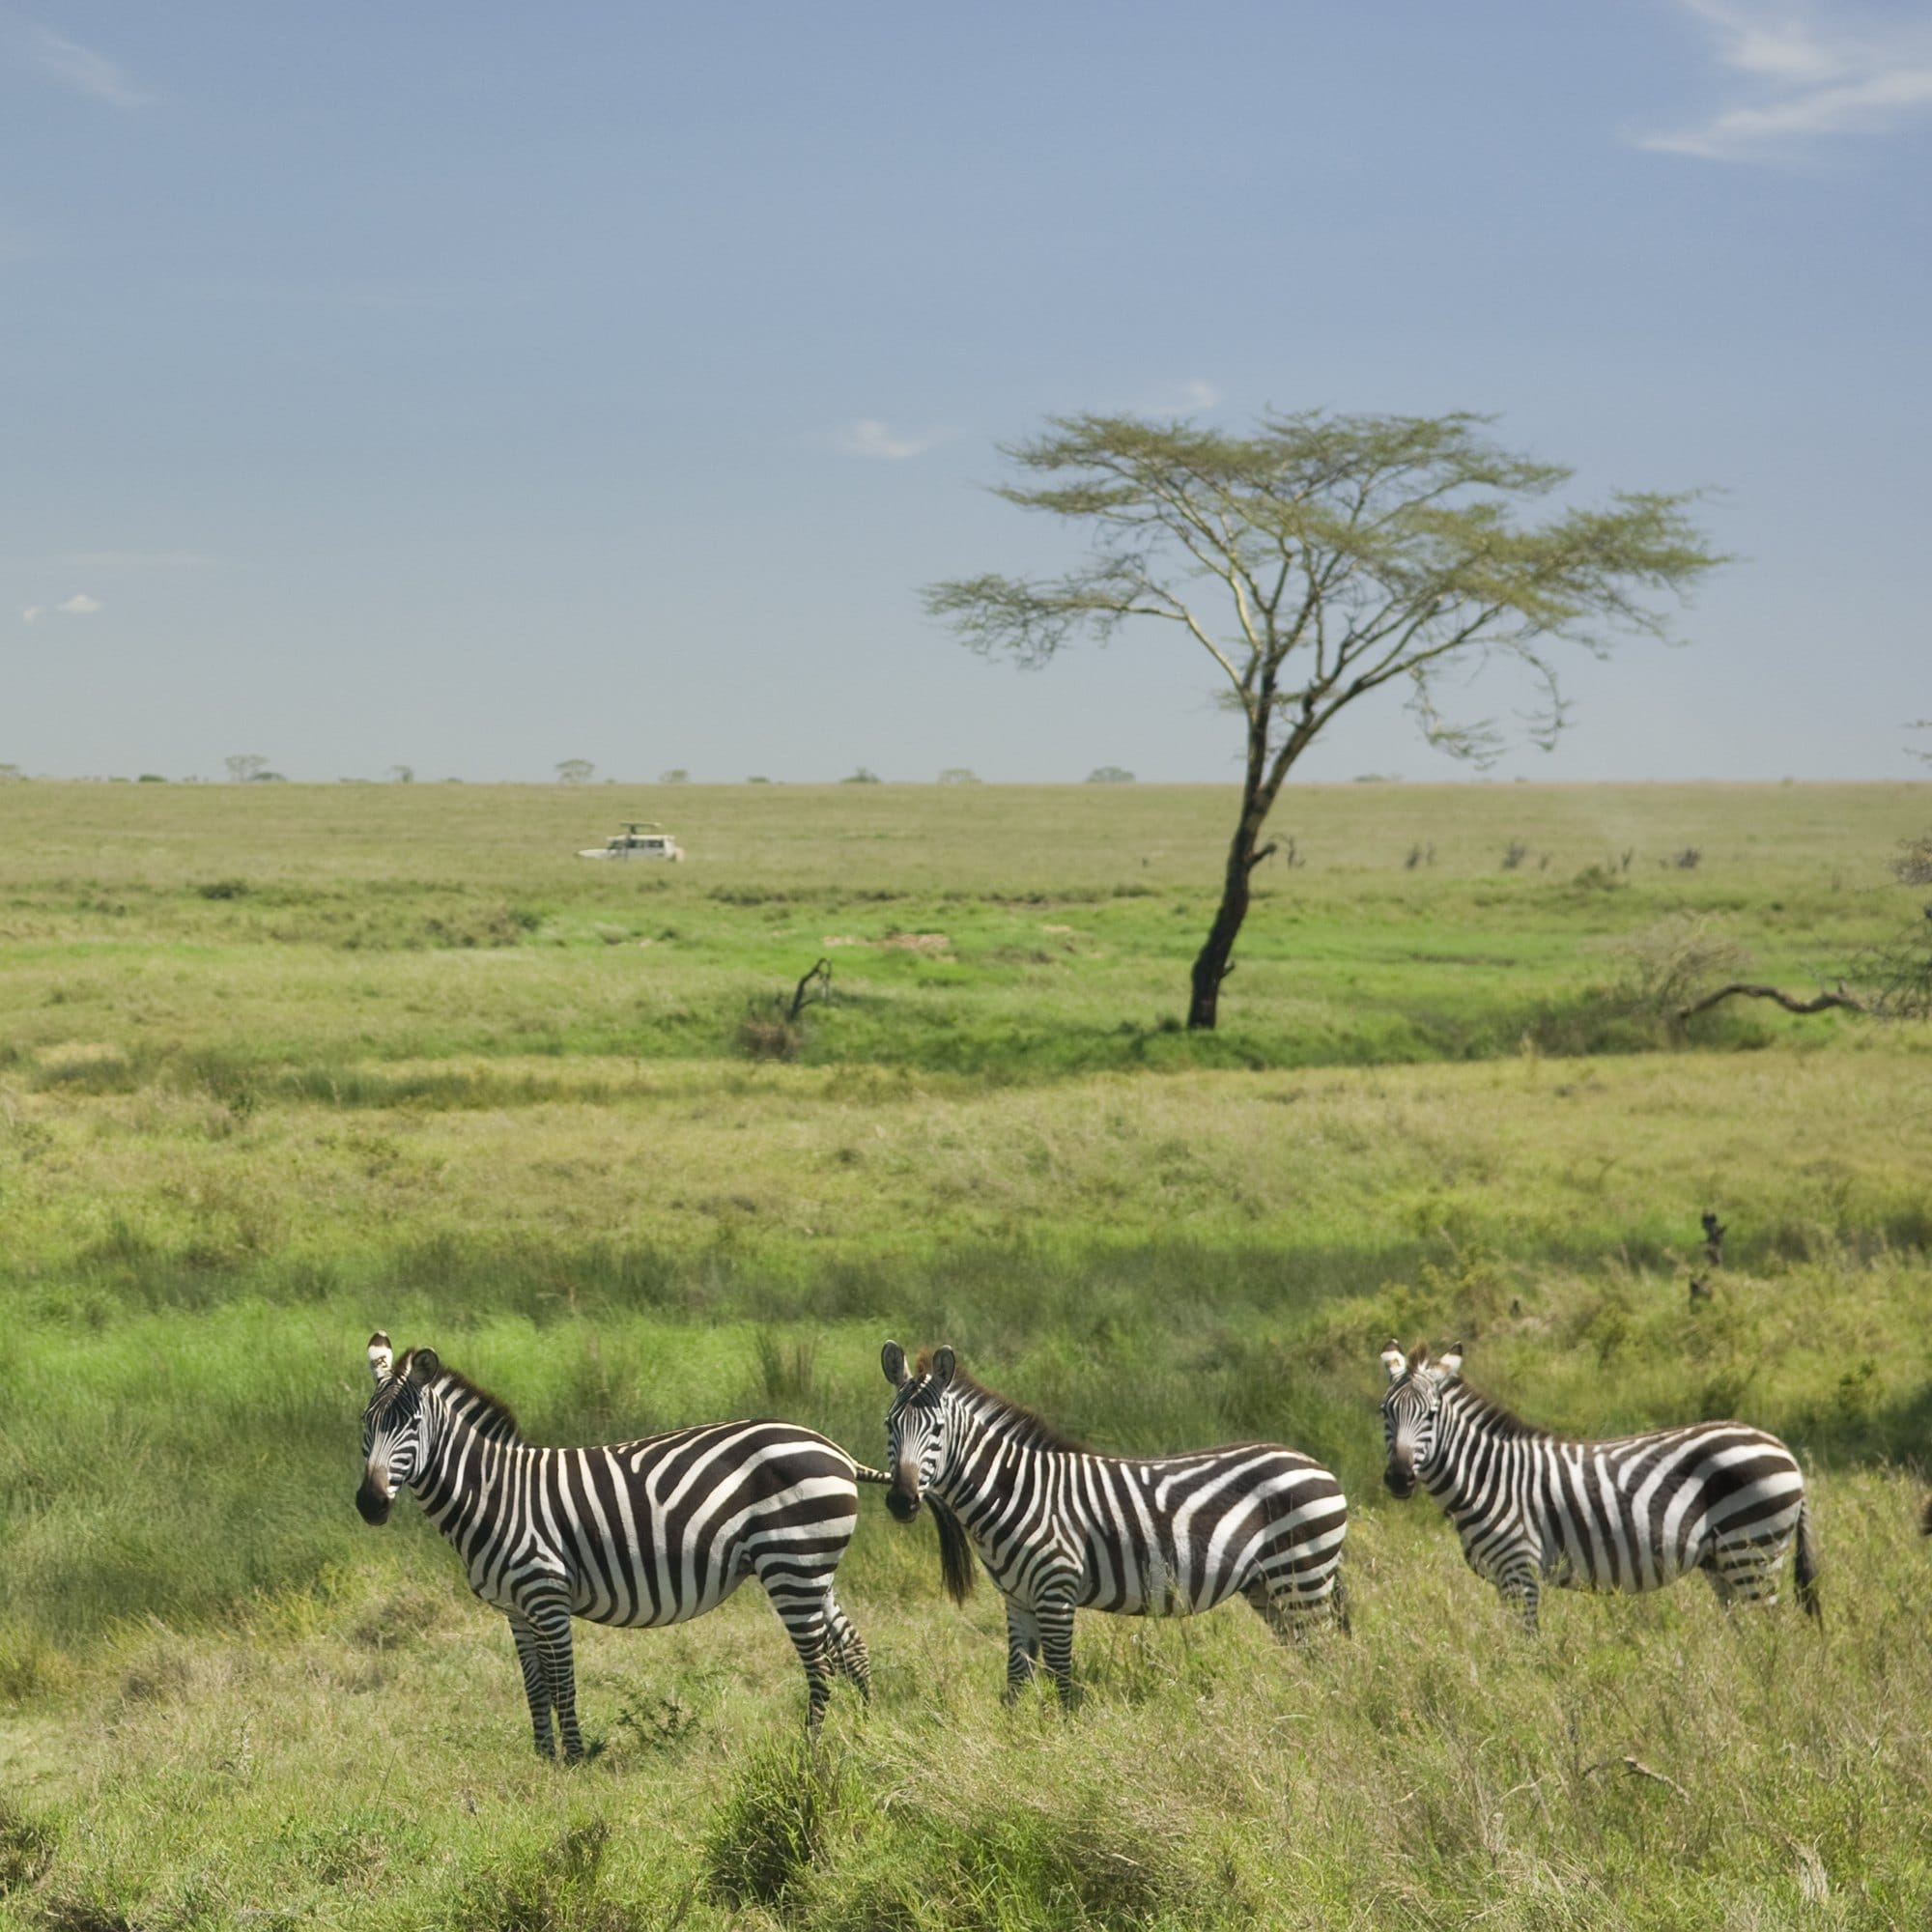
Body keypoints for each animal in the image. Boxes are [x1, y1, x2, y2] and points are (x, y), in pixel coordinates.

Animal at [357, 1331, 878, 1756]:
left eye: (412, 1422)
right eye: (365, 1423)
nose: (369, 1503)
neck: (493, 1493)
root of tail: (833, 1447)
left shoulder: (546, 1596)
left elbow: (562, 1684)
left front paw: (573, 1761)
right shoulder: (516, 1609)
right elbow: (534, 1688)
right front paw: (544, 1759)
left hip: (790, 1563)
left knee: (819, 1662)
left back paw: (810, 1750)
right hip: (811, 1566)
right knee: (851, 1647)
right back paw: (866, 1732)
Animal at [880, 1341, 1348, 1705]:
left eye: (938, 1429)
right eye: (889, 1424)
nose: (902, 1501)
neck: (1014, 1492)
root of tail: (1315, 1464)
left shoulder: (1056, 1591)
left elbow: (1062, 1682)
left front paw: (1061, 1749)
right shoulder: (1018, 1599)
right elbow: (1016, 1684)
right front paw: (1012, 1747)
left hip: (1303, 1575)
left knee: (1326, 1656)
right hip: (1269, 1586)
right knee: (1307, 1654)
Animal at [1379, 1340, 1820, 1630]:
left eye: (1431, 1414)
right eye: (1385, 1410)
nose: (1399, 1478)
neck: (1488, 1478)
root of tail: (1785, 1451)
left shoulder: (1519, 1570)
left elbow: (1525, 1647)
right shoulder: (1504, 1577)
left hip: (1753, 1551)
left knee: (1769, 1632)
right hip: (1724, 1560)